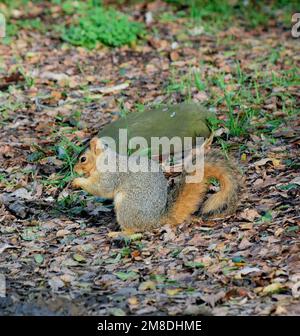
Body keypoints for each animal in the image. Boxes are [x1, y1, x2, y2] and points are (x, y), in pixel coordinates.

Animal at [72, 136, 241, 231]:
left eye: (83, 159)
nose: (74, 169)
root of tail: (158, 218)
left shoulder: (110, 175)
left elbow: (101, 188)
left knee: (133, 229)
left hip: (126, 205)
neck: (105, 160)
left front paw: (77, 181)